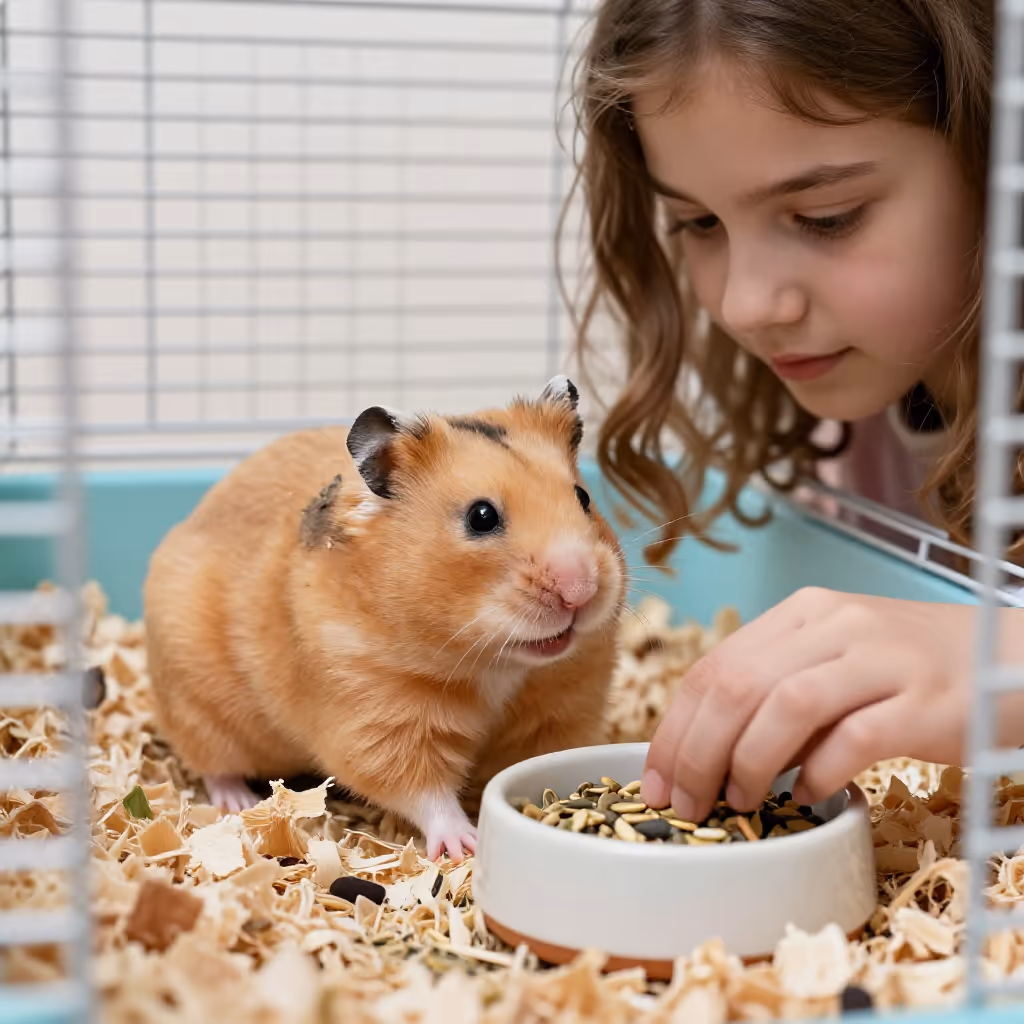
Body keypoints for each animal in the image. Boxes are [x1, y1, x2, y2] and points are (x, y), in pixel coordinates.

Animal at [143, 376, 625, 862]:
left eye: (583, 497)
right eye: (481, 516)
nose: (581, 590)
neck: (496, 661)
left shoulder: (562, 708)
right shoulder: (375, 711)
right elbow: (421, 789)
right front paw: (464, 845)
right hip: (200, 707)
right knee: (215, 764)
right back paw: (237, 802)